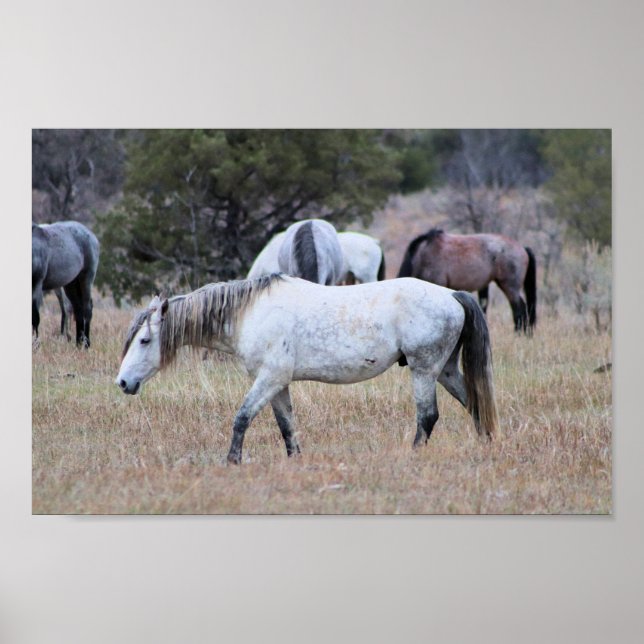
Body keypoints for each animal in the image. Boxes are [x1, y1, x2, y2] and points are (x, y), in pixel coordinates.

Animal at [116, 275, 498, 464]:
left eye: (145, 341)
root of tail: (451, 295)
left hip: (424, 370)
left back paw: (413, 456)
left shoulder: (269, 379)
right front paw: (294, 460)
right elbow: (287, 425)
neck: (250, 312)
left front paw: (232, 461)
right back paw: (486, 446)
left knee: (428, 417)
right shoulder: (279, 384)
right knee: (475, 404)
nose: (122, 382)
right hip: (444, 371)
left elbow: (241, 418)